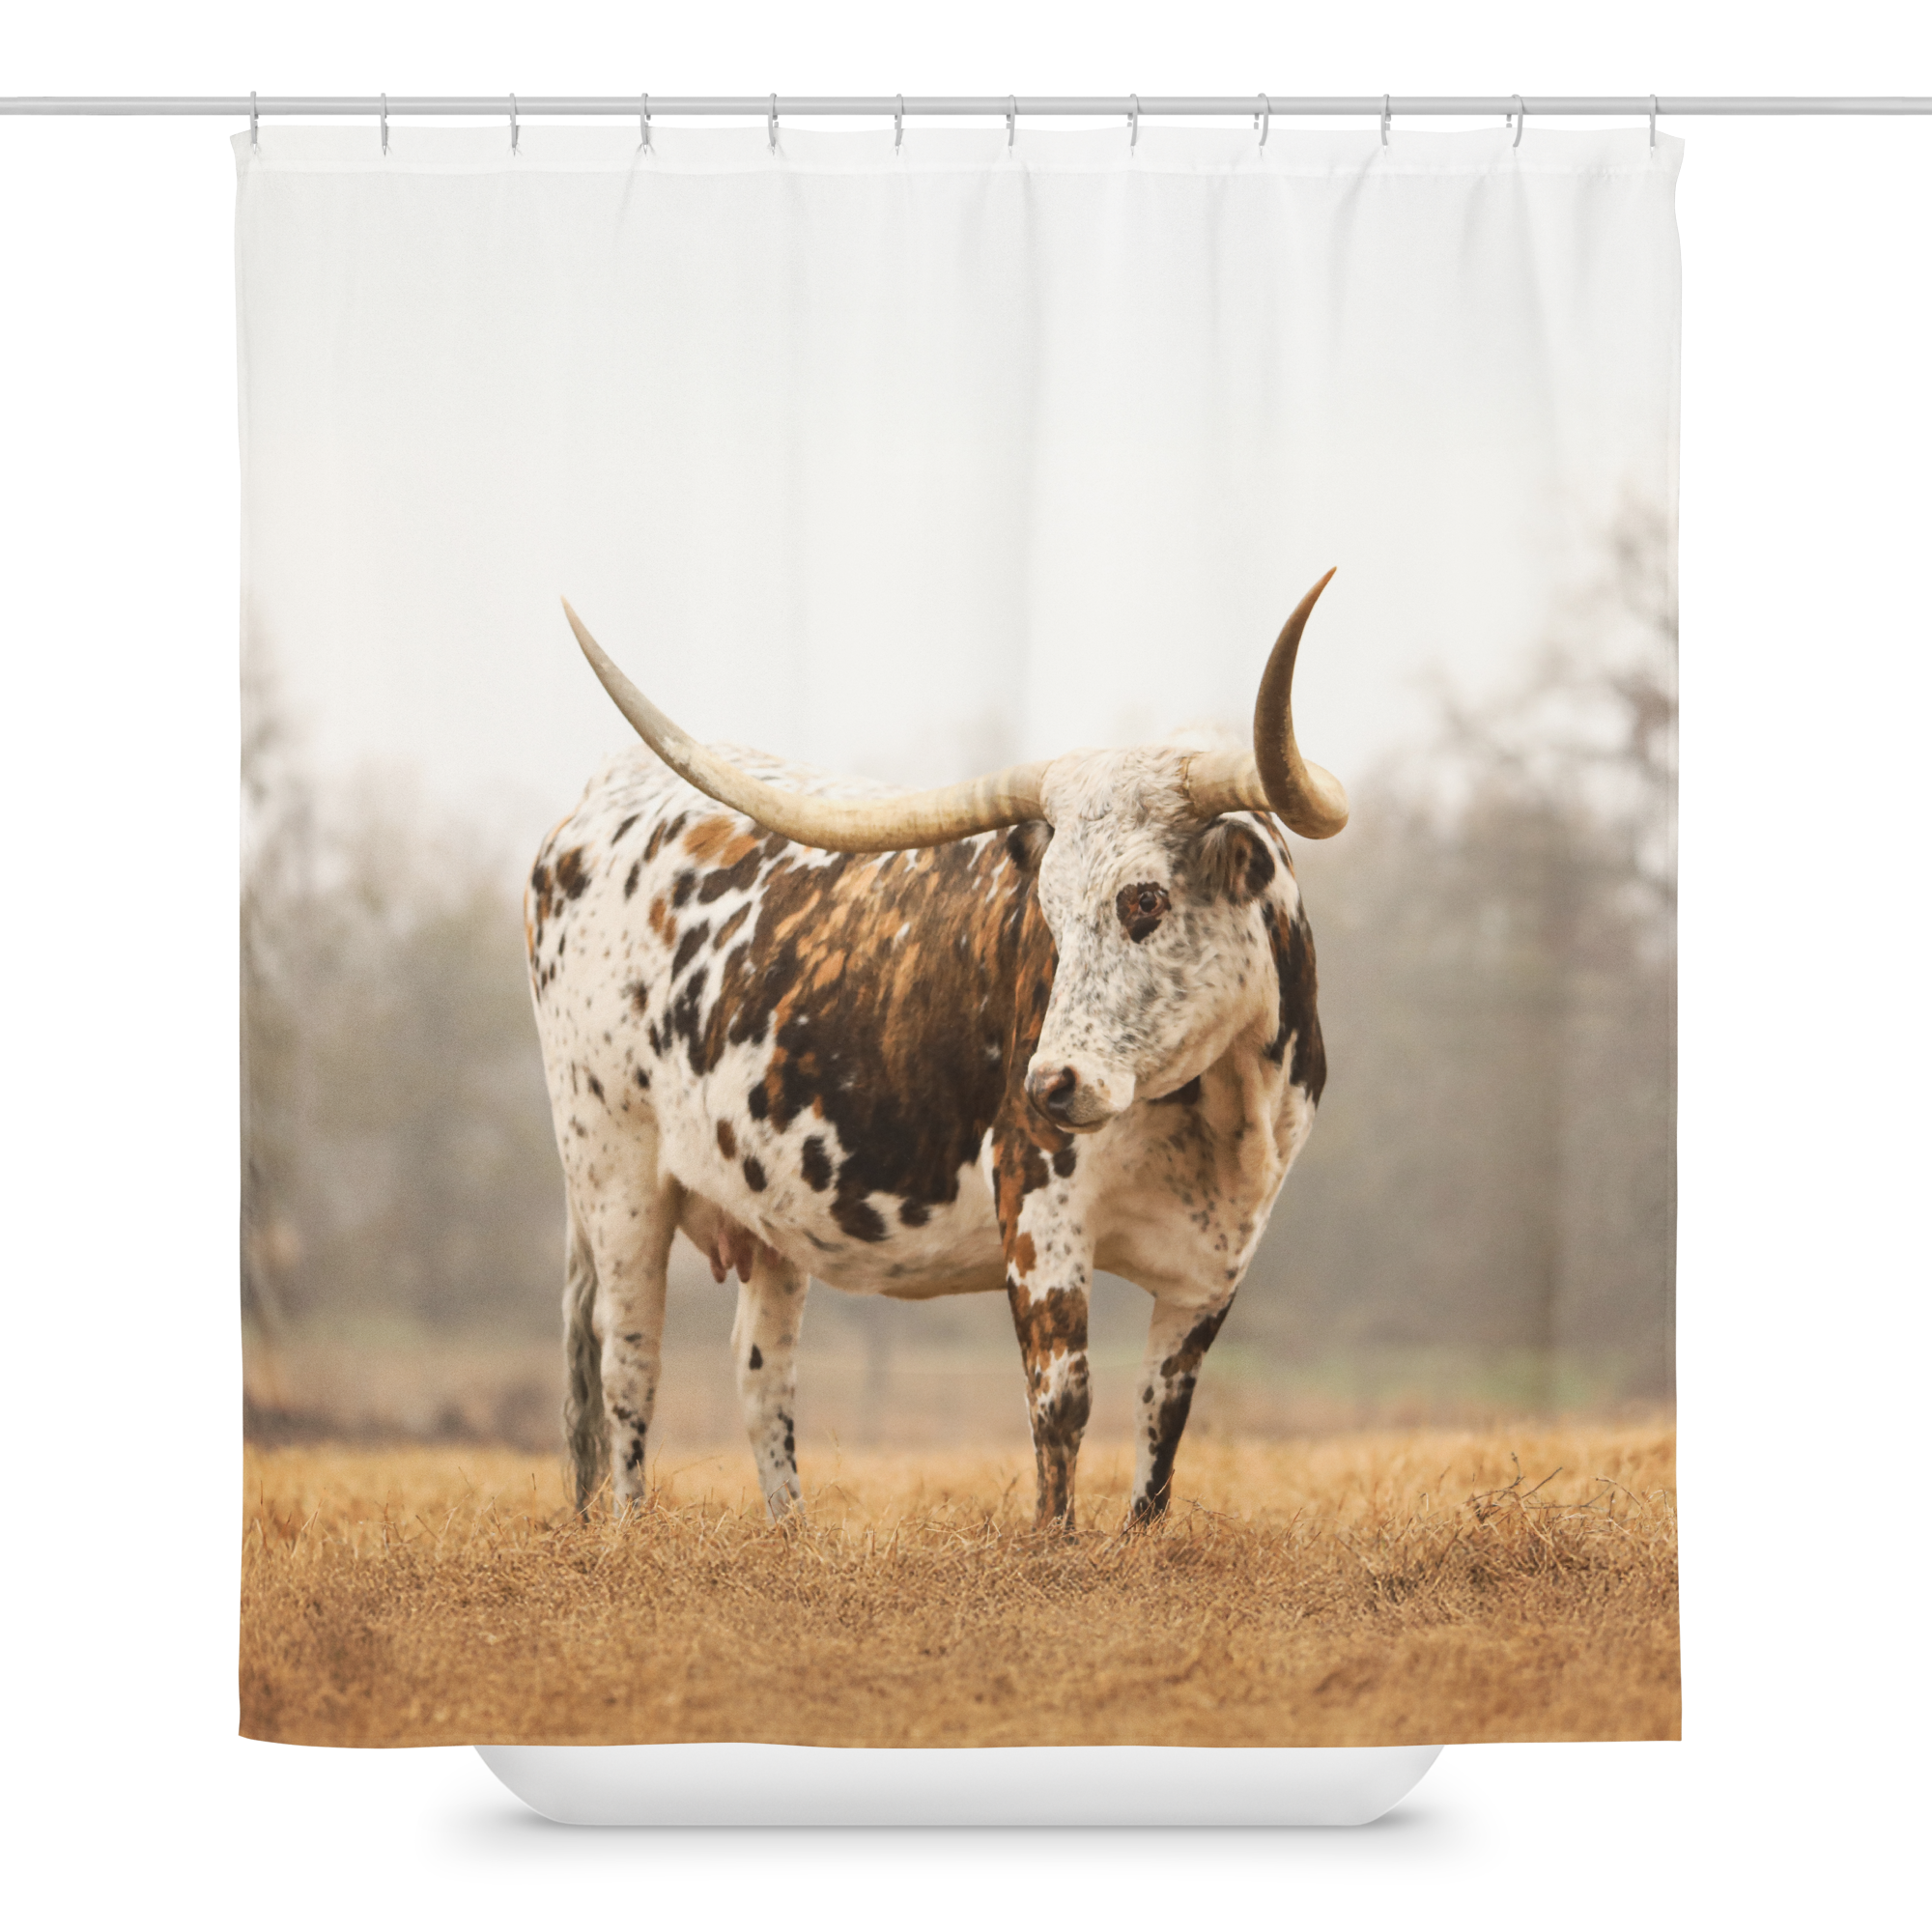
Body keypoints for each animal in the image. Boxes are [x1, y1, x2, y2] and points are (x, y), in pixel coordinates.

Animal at [527, 572, 1348, 1532]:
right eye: (1049, 910)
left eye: (1143, 899)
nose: (1050, 1084)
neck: (1219, 1105)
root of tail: (603, 795)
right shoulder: (1038, 1204)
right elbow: (1061, 1398)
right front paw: (1054, 1544)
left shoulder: (1218, 1257)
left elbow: (1163, 1419)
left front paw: (1138, 1543)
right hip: (613, 1174)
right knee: (628, 1360)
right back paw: (630, 1530)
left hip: (766, 1201)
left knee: (761, 1370)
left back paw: (792, 1536)